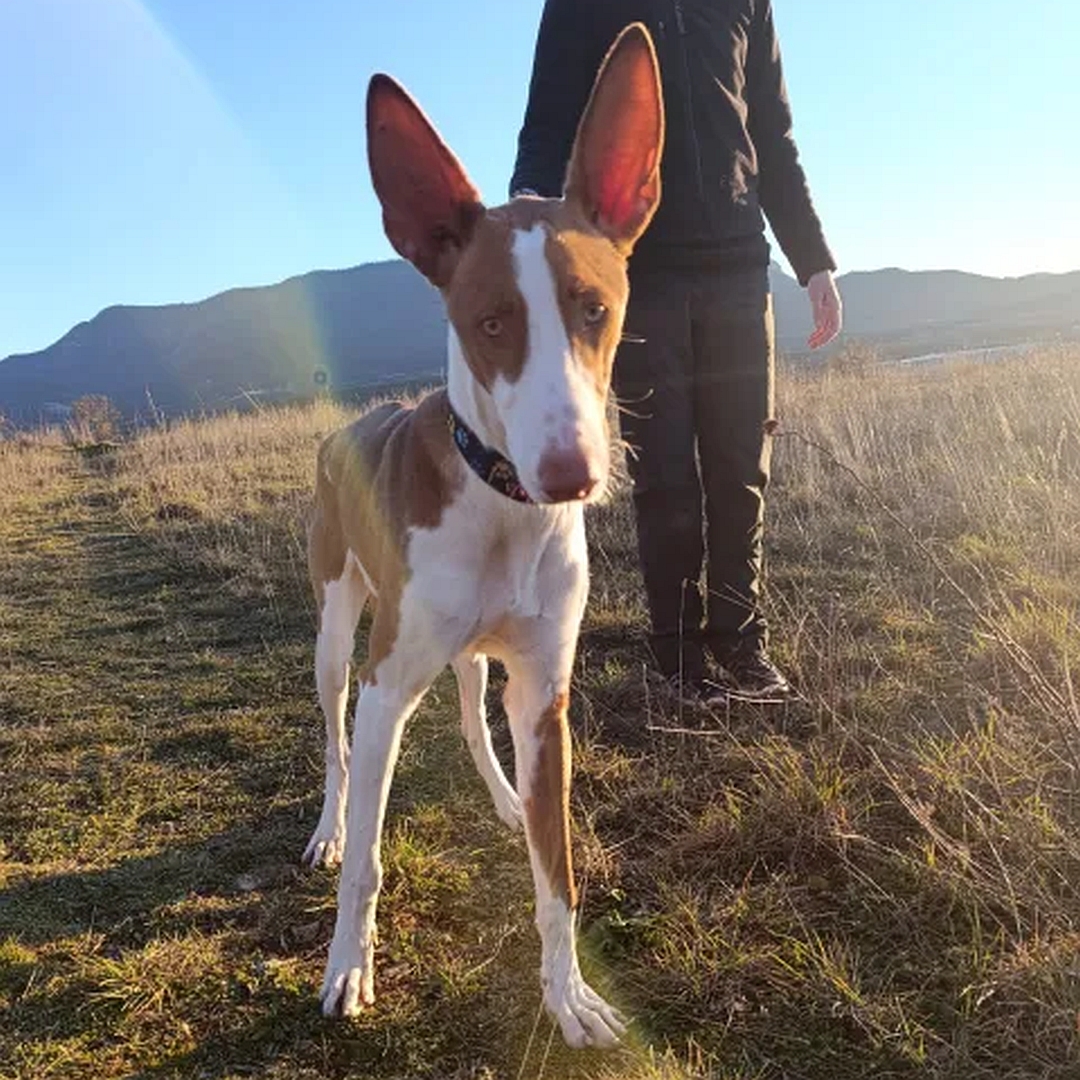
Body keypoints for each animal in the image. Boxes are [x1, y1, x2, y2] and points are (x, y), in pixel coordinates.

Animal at [300, 23, 660, 1045]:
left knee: (467, 710)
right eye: (489, 321)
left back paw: (500, 796)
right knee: (335, 742)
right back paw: (328, 824)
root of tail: (348, 424)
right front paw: (348, 968)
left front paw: (570, 997)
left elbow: (559, 878)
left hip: (473, 657)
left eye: (595, 308)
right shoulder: (387, 687)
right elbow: (367, 864)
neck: (501, 506)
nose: (570, 477)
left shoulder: (545, 693)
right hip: (337, 631)